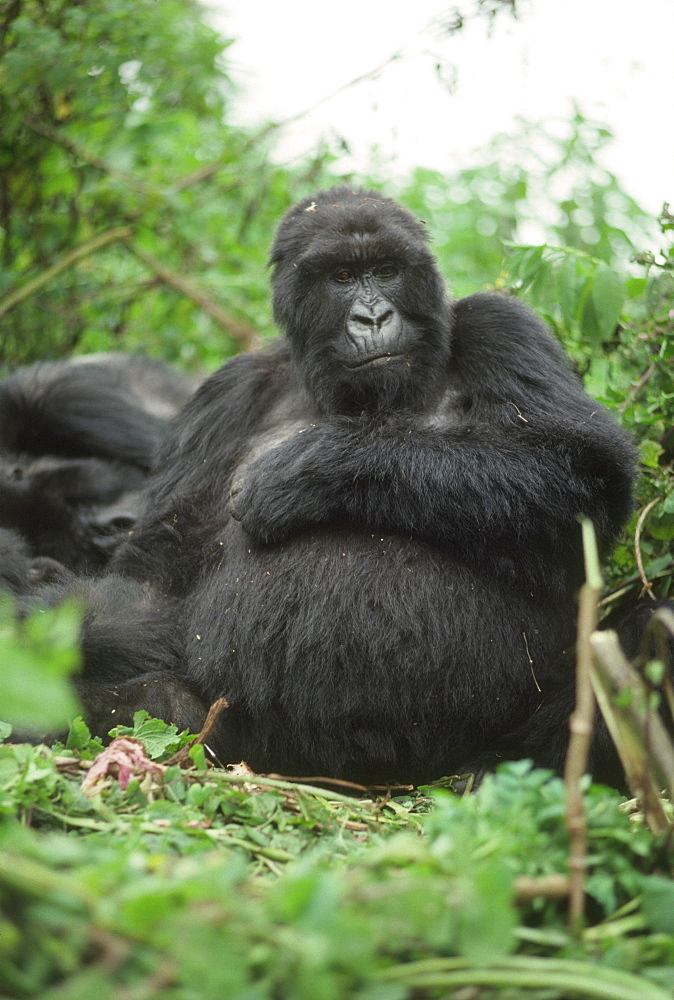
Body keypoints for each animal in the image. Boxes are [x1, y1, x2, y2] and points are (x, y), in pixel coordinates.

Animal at [48, 186, 644, 780]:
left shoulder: (502, 325)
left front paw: (307, 468)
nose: (373, 316)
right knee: (153, 701)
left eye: (385, 270)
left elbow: (578, 470)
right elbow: (155, 571)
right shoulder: (225, 393)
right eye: (341, 277)